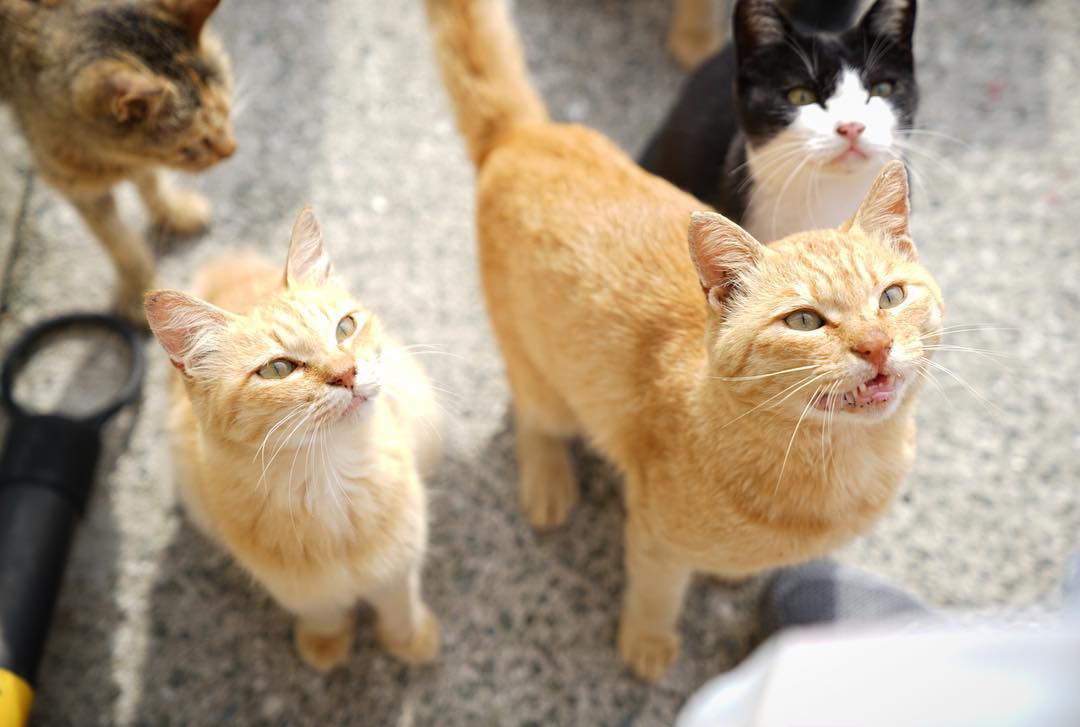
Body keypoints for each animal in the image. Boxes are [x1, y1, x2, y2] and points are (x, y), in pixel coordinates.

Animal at [0, 0, 235, 319]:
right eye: (191, 146)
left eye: (227, 109)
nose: (231, 149)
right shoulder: (79, 188)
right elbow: (124, 245)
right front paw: (142, 293)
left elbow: (150, 181)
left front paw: (173, 211)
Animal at [145, 207, 440, 674]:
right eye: (278, 369)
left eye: (344, 328)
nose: (347, 373)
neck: (330, 479)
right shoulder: (299, 590)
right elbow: (324, 614)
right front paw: (326, 646)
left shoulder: (399, 564)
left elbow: (399, 608)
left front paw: (411, 642)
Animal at [425, 0, 941, 682]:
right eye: (805, 321)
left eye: (890, 298)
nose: (876, 345)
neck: (839, 467)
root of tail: (525, 137)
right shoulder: (654, 535)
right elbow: (656, 591)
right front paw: (647, 642)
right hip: (543, 376)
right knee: (533, 415)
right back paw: (548, 479)